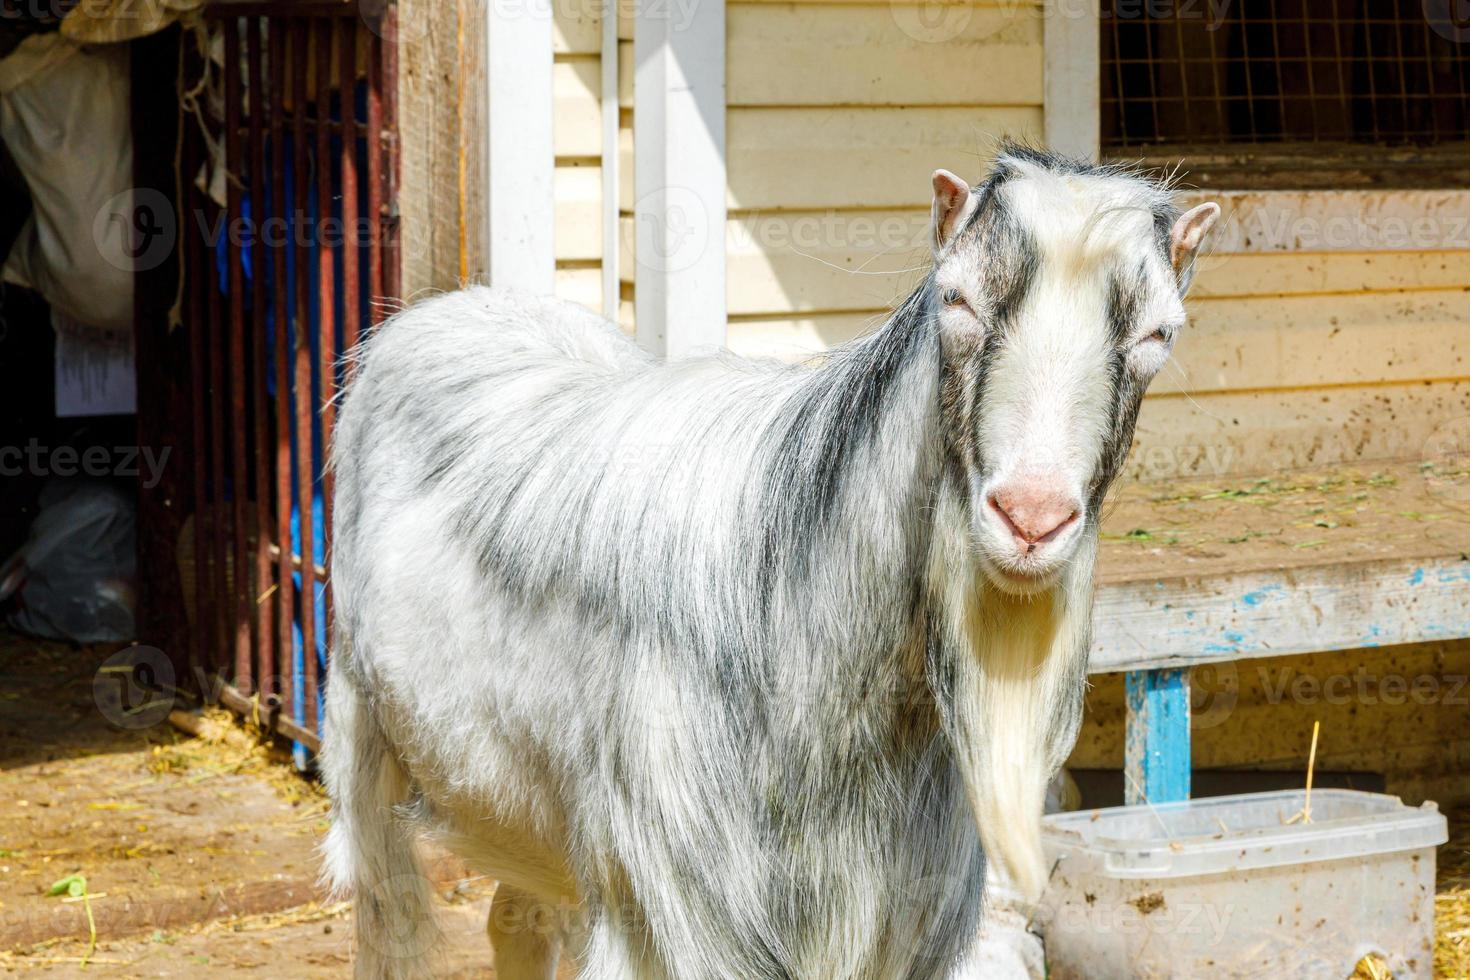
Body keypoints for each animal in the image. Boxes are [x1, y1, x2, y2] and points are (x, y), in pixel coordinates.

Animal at [321, 147, 1217, 980]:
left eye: (1158, 334)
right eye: (957, 299)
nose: (1031, 518)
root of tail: (457, 306)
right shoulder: (675, 918)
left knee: (519, 922)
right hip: (362, 741)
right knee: (390, 916)